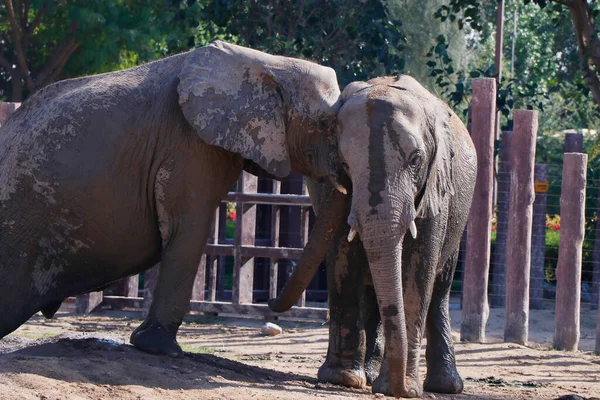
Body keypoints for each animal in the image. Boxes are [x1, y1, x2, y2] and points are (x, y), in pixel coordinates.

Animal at [0, 41, 350, 356]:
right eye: (324, 124)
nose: (270, 304)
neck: (268, 62)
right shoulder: (186, 144)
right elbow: (188, 228)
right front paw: (159, 348)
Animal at [270, 75, 476, 396]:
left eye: (416, 159)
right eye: (344, 163)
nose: (269, 303)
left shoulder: (437, 187)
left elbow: (418, 270)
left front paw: (404, 389)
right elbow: (342, 258)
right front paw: (343, 379)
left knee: (439, 289)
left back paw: (444, 386)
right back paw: (368, 376)